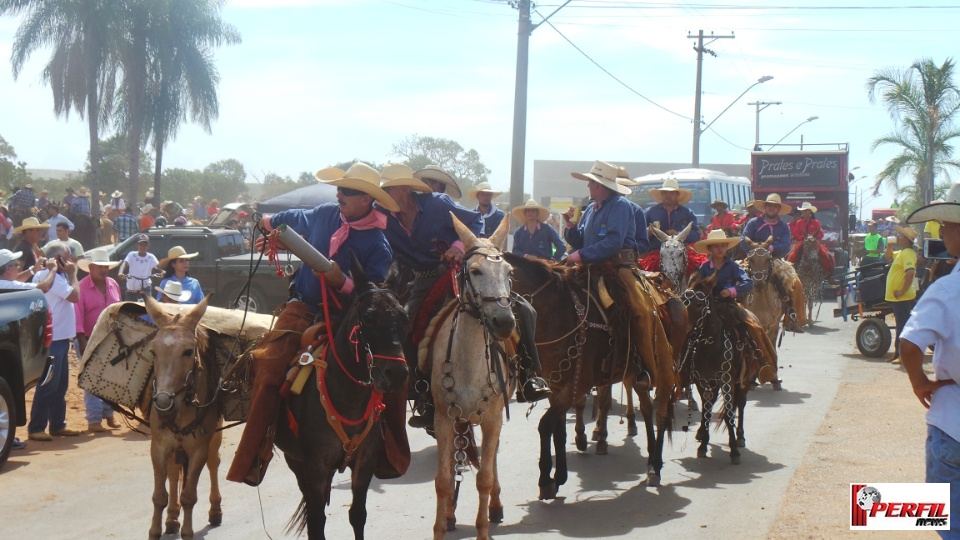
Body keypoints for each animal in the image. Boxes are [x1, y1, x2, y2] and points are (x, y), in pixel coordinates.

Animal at [142, 294, 223, 540]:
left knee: (214, 463)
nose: (162, 402)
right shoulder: (158, 446)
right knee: (174, 470)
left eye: (188, 351)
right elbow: (159, 495)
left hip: (214, 437)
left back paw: (215, 510)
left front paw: (187, 531)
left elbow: (189, 495)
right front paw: (155, 530)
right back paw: (171, 519)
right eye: (153, 352)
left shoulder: (198, 449)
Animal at [278, 258, 412, 540]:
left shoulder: (365, 462)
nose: (396, 374)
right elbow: (316, 522)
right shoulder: (315, 466)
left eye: (404, 318)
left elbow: (357, 515)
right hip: (295, 461)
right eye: (368, 317)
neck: (348, 398)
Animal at [424, 213, 516, 536]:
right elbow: (442, 479)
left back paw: (496, 505)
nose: (504, 322)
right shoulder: (444, 417)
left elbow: (484, 478)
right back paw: (451, 512)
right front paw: (441, 526)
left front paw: (483, 529)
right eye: (475, 270)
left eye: (509, 272)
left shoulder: (493, 417)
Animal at [502, 254, 676, 498]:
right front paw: (560, 475)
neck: (557, 313)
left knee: (661, 412)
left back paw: (656, 467)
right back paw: (650, 459)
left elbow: (545, 425)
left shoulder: (578, 384)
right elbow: (558, 430)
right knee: (647, 408)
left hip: (660, 366)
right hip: (637, 375)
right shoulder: (555, 387)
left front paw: (546, 481)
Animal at [680, 274, 752, 464]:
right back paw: (701, 433)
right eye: (683, 300)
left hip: (744, 381)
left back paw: (740, 436)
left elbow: (728, 414)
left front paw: (734, 450)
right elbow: (706, 410)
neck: (711, 348)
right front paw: (703, 445)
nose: (684, 329)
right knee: (712, 404)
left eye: (699, 304)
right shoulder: (702, 380)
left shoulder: (727, 381)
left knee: (740, 404)